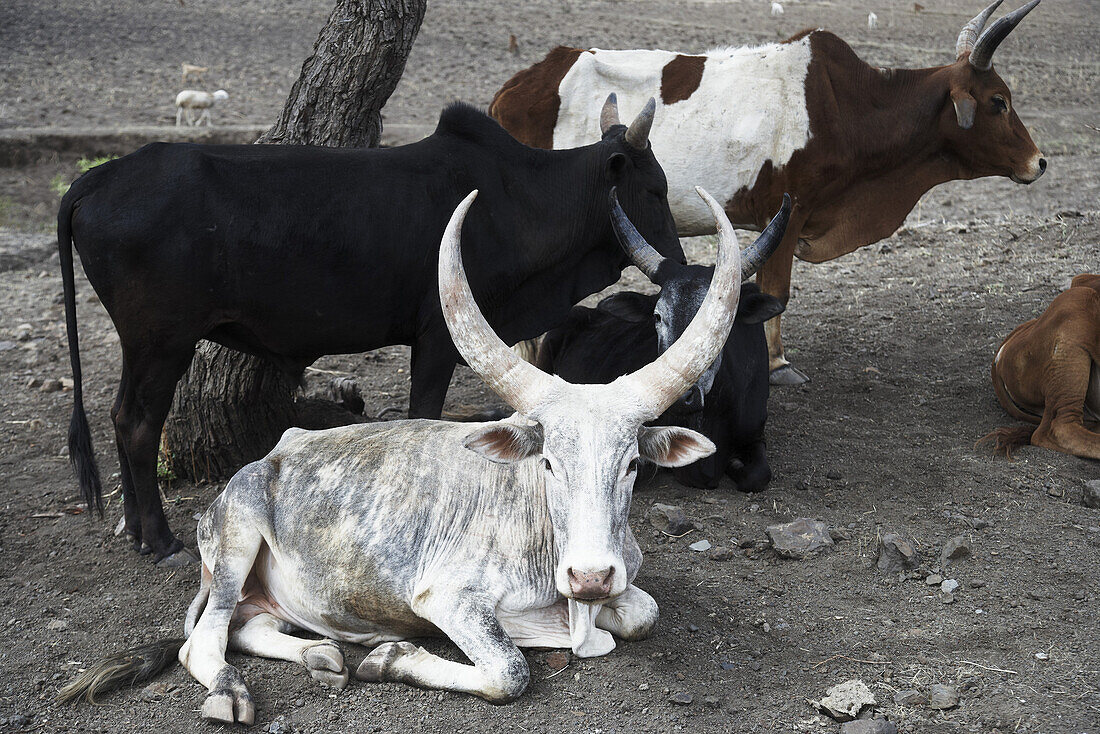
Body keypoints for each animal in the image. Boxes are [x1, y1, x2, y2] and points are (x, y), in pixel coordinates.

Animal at [55, 187, 752, 726]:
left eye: (631, 464)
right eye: (549, 463)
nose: (590, 576)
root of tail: (254, 467)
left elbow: (642, 613)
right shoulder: (445, 598)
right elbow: (510, 670)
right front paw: (392, 657)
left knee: (250, 627)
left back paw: (323, 656)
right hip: (232, 546)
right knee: (202, 642)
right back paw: (235, 693)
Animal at [60, 94, 682, 559]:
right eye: (656, 190)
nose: (675, 261)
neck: (521, 198)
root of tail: (100, 177)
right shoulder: (438, 336)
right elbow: (424, 414)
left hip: (141, 343)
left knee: (119, 415)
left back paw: (137, 532)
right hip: (163, 339)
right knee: (139, 423)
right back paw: (162, 540)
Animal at [492, 0, 1047, 387]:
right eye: (998, 101)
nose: (1039, 162)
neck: (846, 106)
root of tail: (521, 84)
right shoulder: (791, 209)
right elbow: (777, 292)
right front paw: (778, 364)